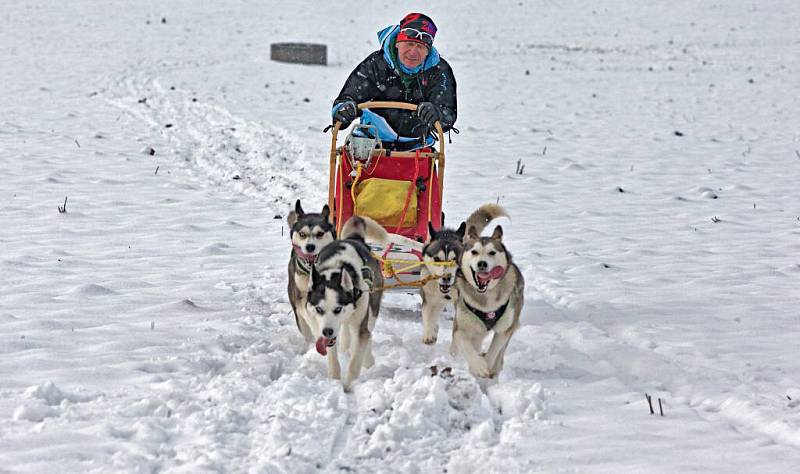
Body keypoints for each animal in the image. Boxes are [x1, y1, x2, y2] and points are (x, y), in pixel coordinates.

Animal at [418, 204, 506, 344]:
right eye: (437, 259)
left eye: (455, 259)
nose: (446, 278)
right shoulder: (430, 297)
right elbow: (428, 317)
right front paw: (429, 333)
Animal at [450, 223, 524, 382]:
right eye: (474, 252)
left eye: (492, 253)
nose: (482, 264)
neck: (485, 298)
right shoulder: (461, 327)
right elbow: (465, 345)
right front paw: (478, 366)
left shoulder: (505, 328)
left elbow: (495, 350)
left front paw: (485, 365)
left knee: (501, 351)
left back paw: (496, 367)